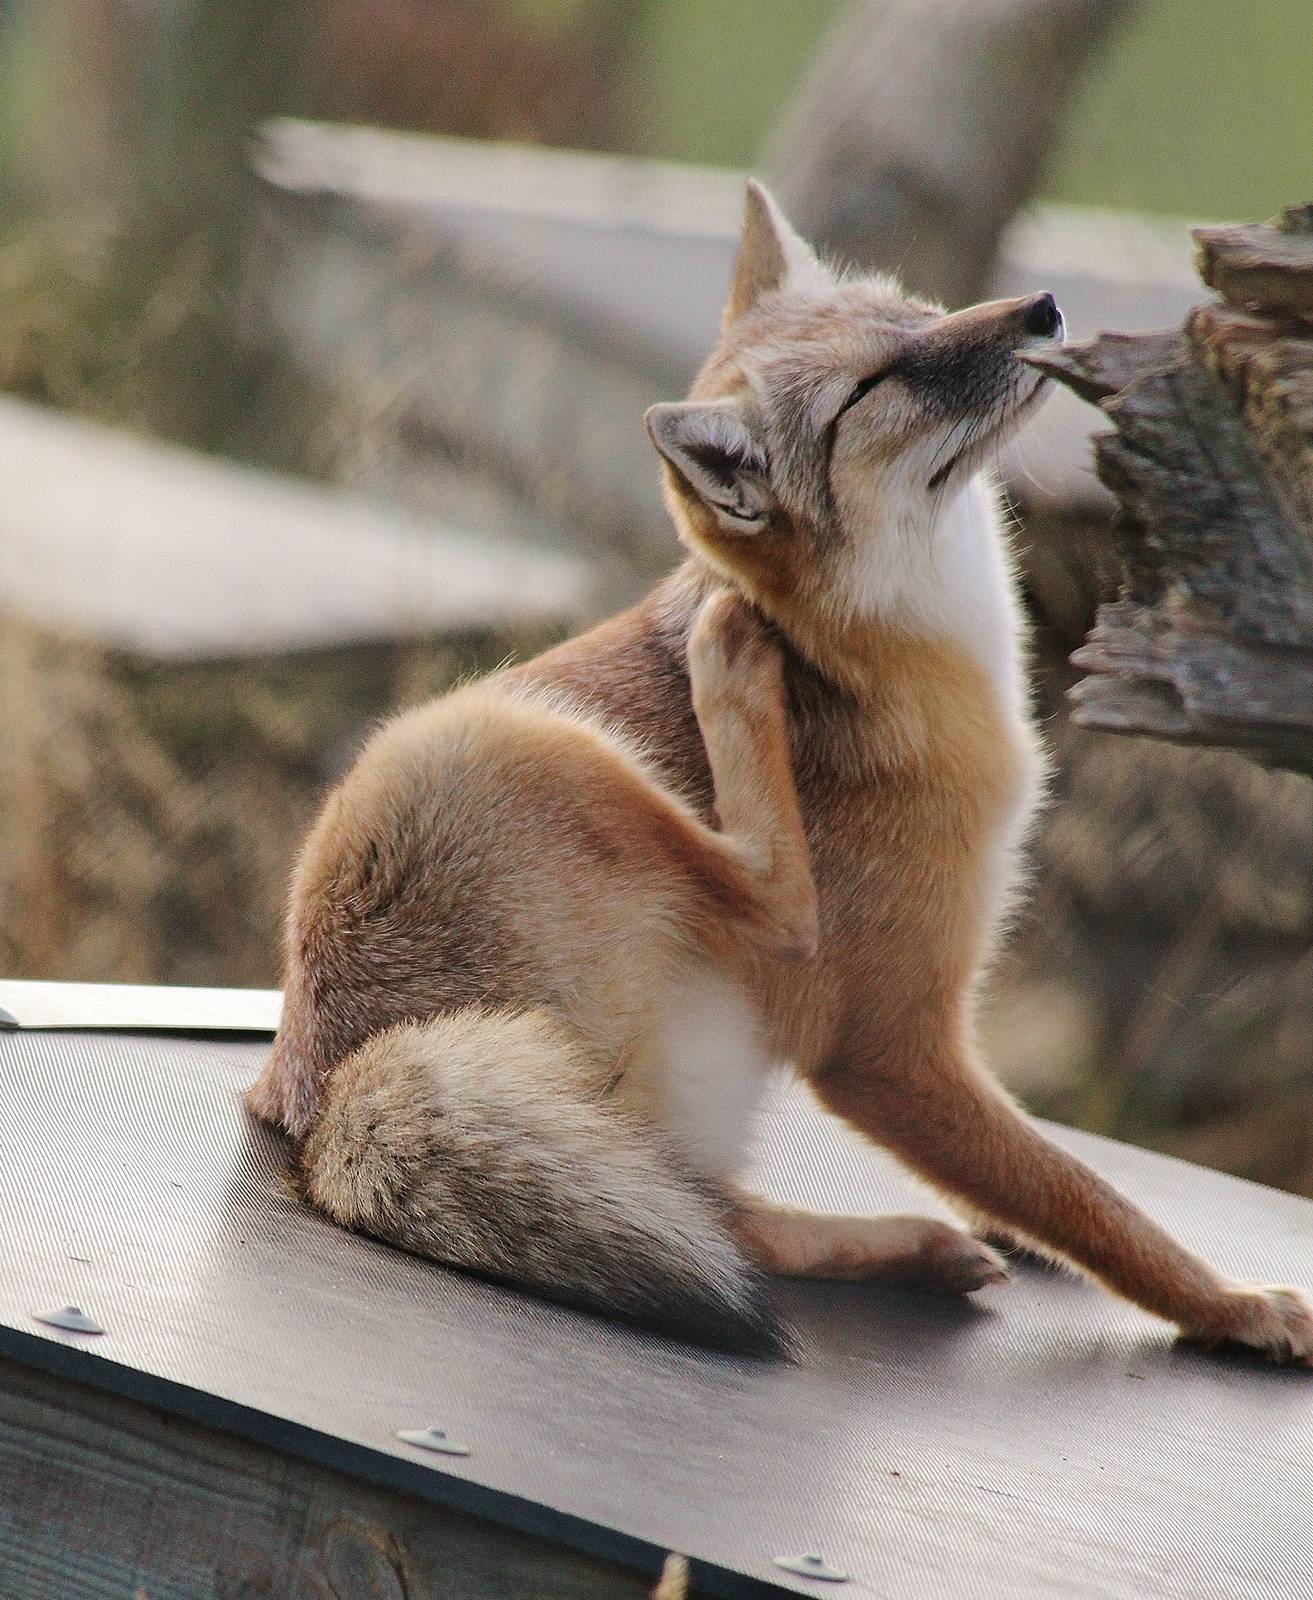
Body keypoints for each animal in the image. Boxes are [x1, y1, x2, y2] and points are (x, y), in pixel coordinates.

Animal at [247, 181, 1313, 1365]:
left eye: (916, 312)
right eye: (870, 390)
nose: (1037, 308)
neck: (899, 656)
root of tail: (317, 1104)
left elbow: (1023, 1166)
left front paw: (998, 1216)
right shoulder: (889, 1044)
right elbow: (1091, 1200)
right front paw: (1231, 1308)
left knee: (728, 1216)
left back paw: (916, 1245)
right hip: (501, 739)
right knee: (771, 922)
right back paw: (730, 670)